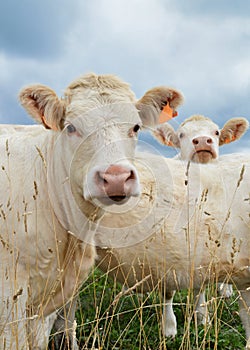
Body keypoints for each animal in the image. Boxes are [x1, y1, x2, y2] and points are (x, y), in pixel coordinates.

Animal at [152, 113, 248, 334]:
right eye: (181, 134)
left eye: (216, 132)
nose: (203, 141)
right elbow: (168, 291)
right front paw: (169, 327)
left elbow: (200, 284)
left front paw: (201, 316)